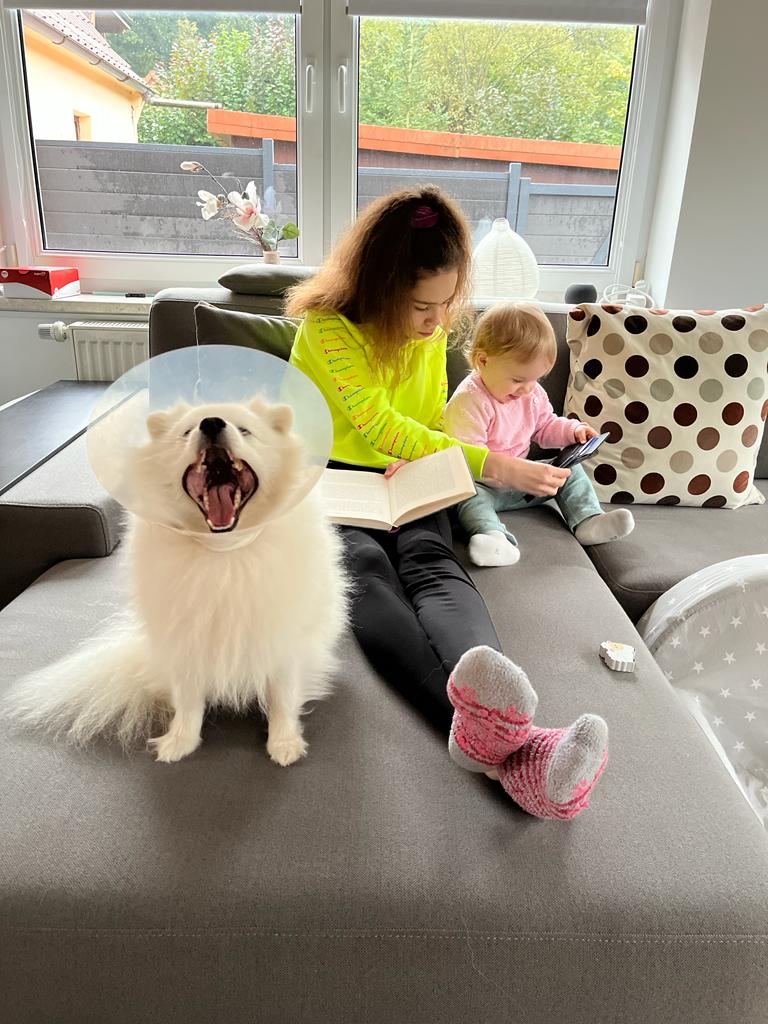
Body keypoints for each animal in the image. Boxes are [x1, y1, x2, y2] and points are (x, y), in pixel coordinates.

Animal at [3, 395, 347, 766]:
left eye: (245, 430)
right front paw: (180, 740)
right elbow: (188, 698)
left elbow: (282, 695)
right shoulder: (185, 635)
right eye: (186, 432)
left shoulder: (284, 638)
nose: (211, 423)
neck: (223, 550)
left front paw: (284, 743)